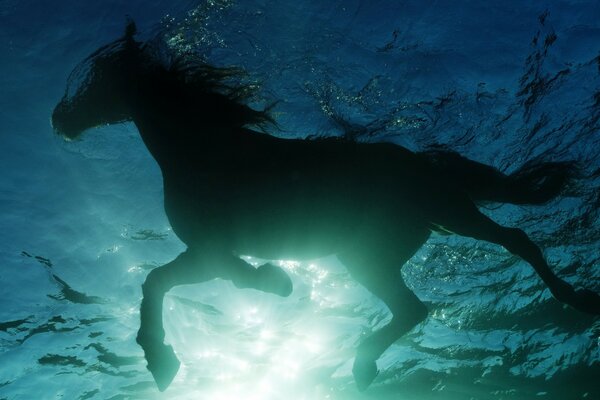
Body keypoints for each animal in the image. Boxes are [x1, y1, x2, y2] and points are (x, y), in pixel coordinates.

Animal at [52, 21, 600, 390]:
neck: (201, 152)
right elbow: (157, 281)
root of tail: (421, 162)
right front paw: (161, 359)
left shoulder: (213, 249)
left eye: (96, 77)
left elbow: (205, 278)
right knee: (414, 308)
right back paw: (362, 365)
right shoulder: (202, 252)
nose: (60, 119)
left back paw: (577, 299)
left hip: (447, 215)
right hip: (368, 257)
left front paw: (274, 281)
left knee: (517, 241)